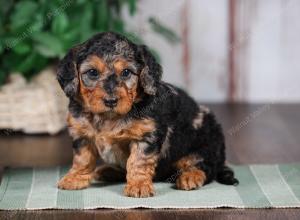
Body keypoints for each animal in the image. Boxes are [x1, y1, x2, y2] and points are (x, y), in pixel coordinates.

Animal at [56, 31, 239, 199]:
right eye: (92, 72)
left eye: (126, 72)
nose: (111, 101)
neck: (109, 116)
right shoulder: (82, 134)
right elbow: (82, 158)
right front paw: (75, 178)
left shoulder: (146, 136)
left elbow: (138, 161)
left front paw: (138, 185)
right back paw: (108, 171)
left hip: (205, 145)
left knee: (205, 166)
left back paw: (190, 176)